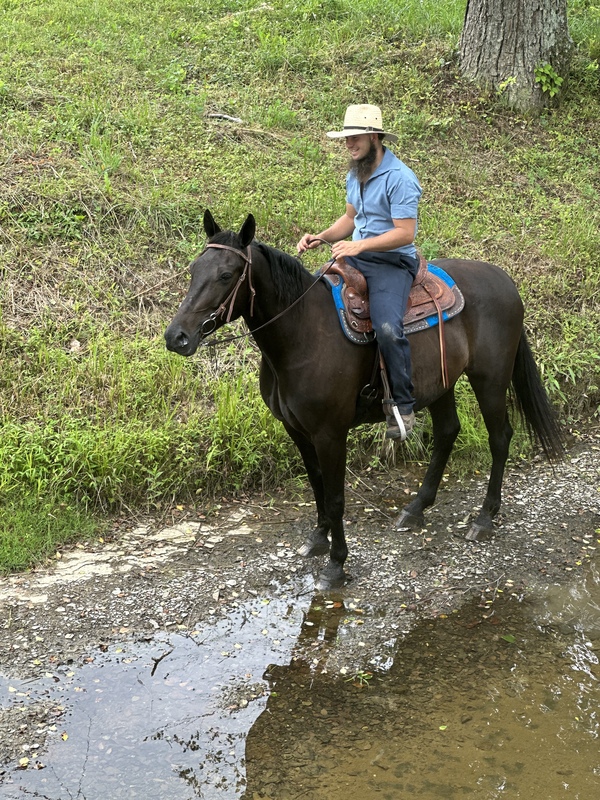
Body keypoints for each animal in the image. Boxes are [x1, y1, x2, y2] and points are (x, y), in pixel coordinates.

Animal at [163, 209, 564, 592]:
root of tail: (504, 280)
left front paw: (336, 565)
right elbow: (317, 485)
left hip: (490, 380)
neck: (301, 333)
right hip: (441, 383)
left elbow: (336, 497)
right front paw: (317, 538)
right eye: (194, 270)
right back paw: (416, 509)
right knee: (448, 432)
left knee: (500, 438)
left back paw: (483, 518)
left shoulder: (330, 434)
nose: (176, 337)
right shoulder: (297, 430)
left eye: (226, 275)